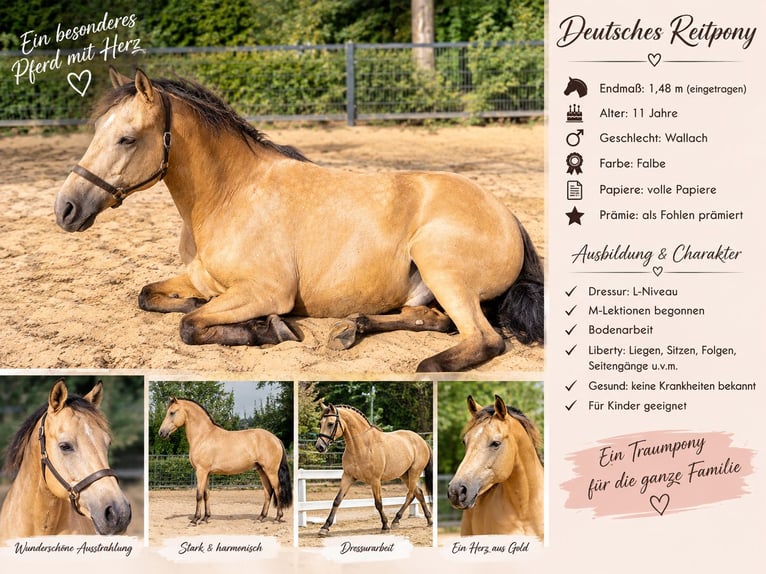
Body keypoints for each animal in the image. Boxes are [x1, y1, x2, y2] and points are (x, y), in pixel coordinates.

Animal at [53, 67, 544, 373]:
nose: (66, 209)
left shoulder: (267, 291)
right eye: (97, 131)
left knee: (483, 338)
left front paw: (267, 329)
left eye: (126, 138)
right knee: (434, 320)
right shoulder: (200, 279)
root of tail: (507, 215)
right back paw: (353, 328)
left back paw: (426, 366)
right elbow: (150, 297)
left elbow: (190, 327)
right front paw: (205, 307)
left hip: (439, 263)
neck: (229, 197)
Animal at [157, 397, 292, 525]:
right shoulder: (206, 473)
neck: (203, 436)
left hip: (271, 471)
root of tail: (276, 439)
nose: (161, 433)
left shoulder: (201, 471)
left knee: (277, 490)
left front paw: (195, 520)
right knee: (268, 492)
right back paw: (260, 518)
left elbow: (199, 495)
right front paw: (205, 518)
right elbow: (206, 494)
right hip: (261, 470)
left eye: (172, 412)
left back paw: (277, 518)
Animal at [314, 402, 433, 536]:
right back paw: (428, 520)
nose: (319, 446)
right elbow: (337, 500)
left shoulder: (375, 480)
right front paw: (325, 527)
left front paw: (385, 526)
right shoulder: (348, 477)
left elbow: (378, 503)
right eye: (320, 424)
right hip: (404, 475)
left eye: (330, 423)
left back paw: (396, 521)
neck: (361, 445)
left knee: (411, 495)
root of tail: (422, 440)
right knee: (419, 493)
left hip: (414, 473)